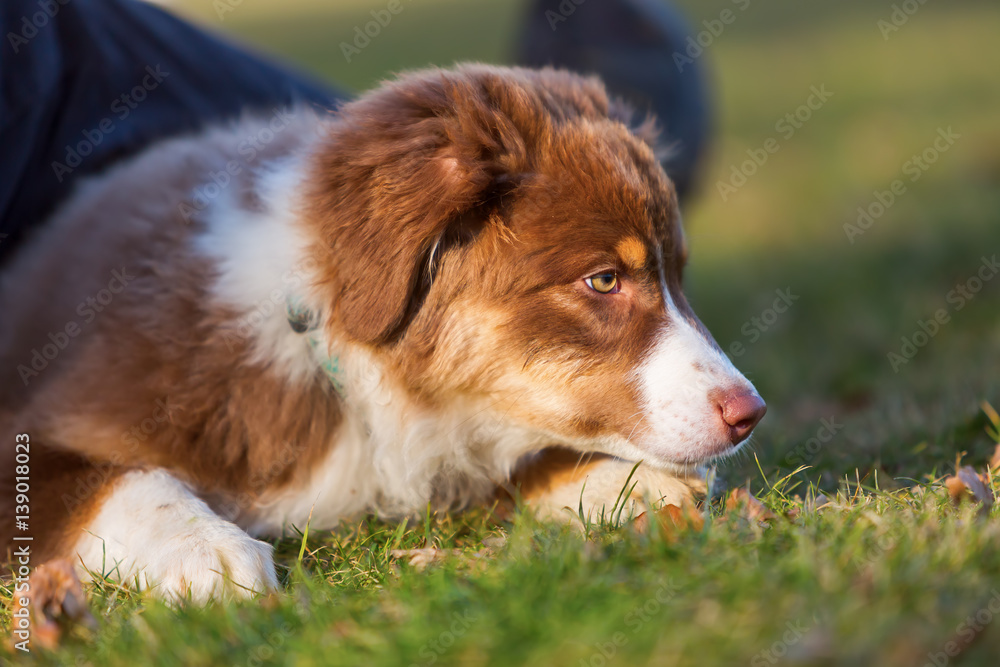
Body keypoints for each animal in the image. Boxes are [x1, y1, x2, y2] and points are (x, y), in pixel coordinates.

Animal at [0, 65, 764, 604]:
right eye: (603, 280)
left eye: (679, 275)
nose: (749, 413)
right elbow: (113, 478)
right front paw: (205, 549)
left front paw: (624, 484)